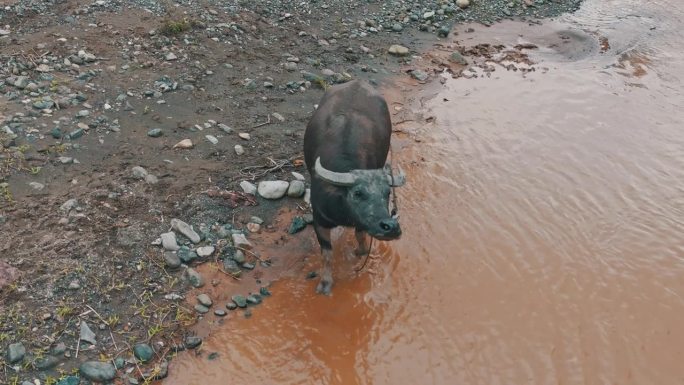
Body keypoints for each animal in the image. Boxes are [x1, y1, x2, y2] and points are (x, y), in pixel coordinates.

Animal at [302, 80, 404, 294]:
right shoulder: (319, 220)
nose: (390, 227)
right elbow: (327, 254)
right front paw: (325, 283)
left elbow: (361, 239)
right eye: (358, 193)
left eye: (387, 193)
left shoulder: (361, 223)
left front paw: (359, 251)